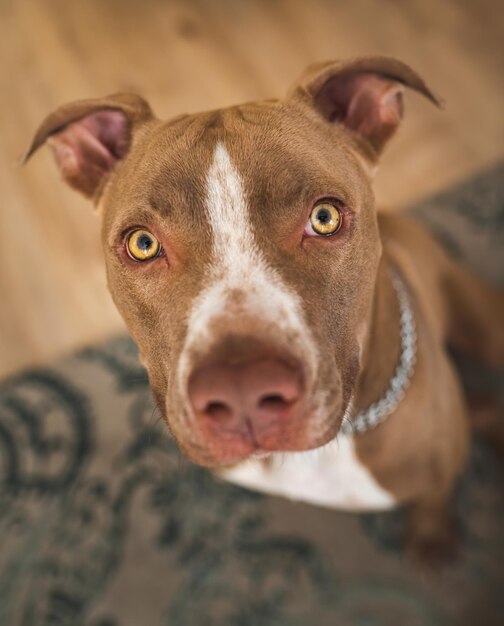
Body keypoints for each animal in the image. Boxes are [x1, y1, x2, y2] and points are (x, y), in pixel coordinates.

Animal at [24, 58, 504, 564]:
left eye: (325, 218)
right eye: (142, 244)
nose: (242, 392)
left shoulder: (438, 472)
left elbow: (433, 498)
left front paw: (432, 537)